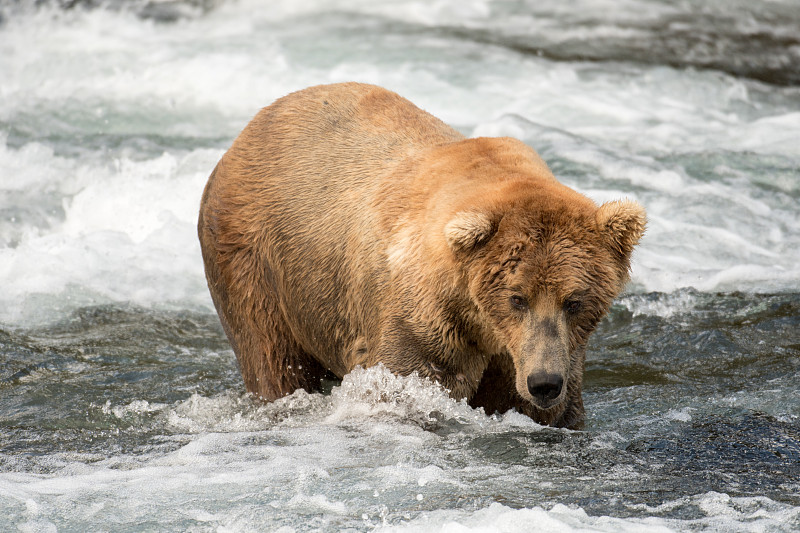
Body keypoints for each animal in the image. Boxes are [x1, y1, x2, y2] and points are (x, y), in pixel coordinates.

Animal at [200, 82, 644, 428]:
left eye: (575, 300)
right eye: (517, 298)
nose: (544, 382)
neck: (481, 323)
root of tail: (247, 131)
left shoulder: (547, 352)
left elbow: (548, 410)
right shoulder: (421, 321)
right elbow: (405, 386)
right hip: (259, 261)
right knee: (273, 359)